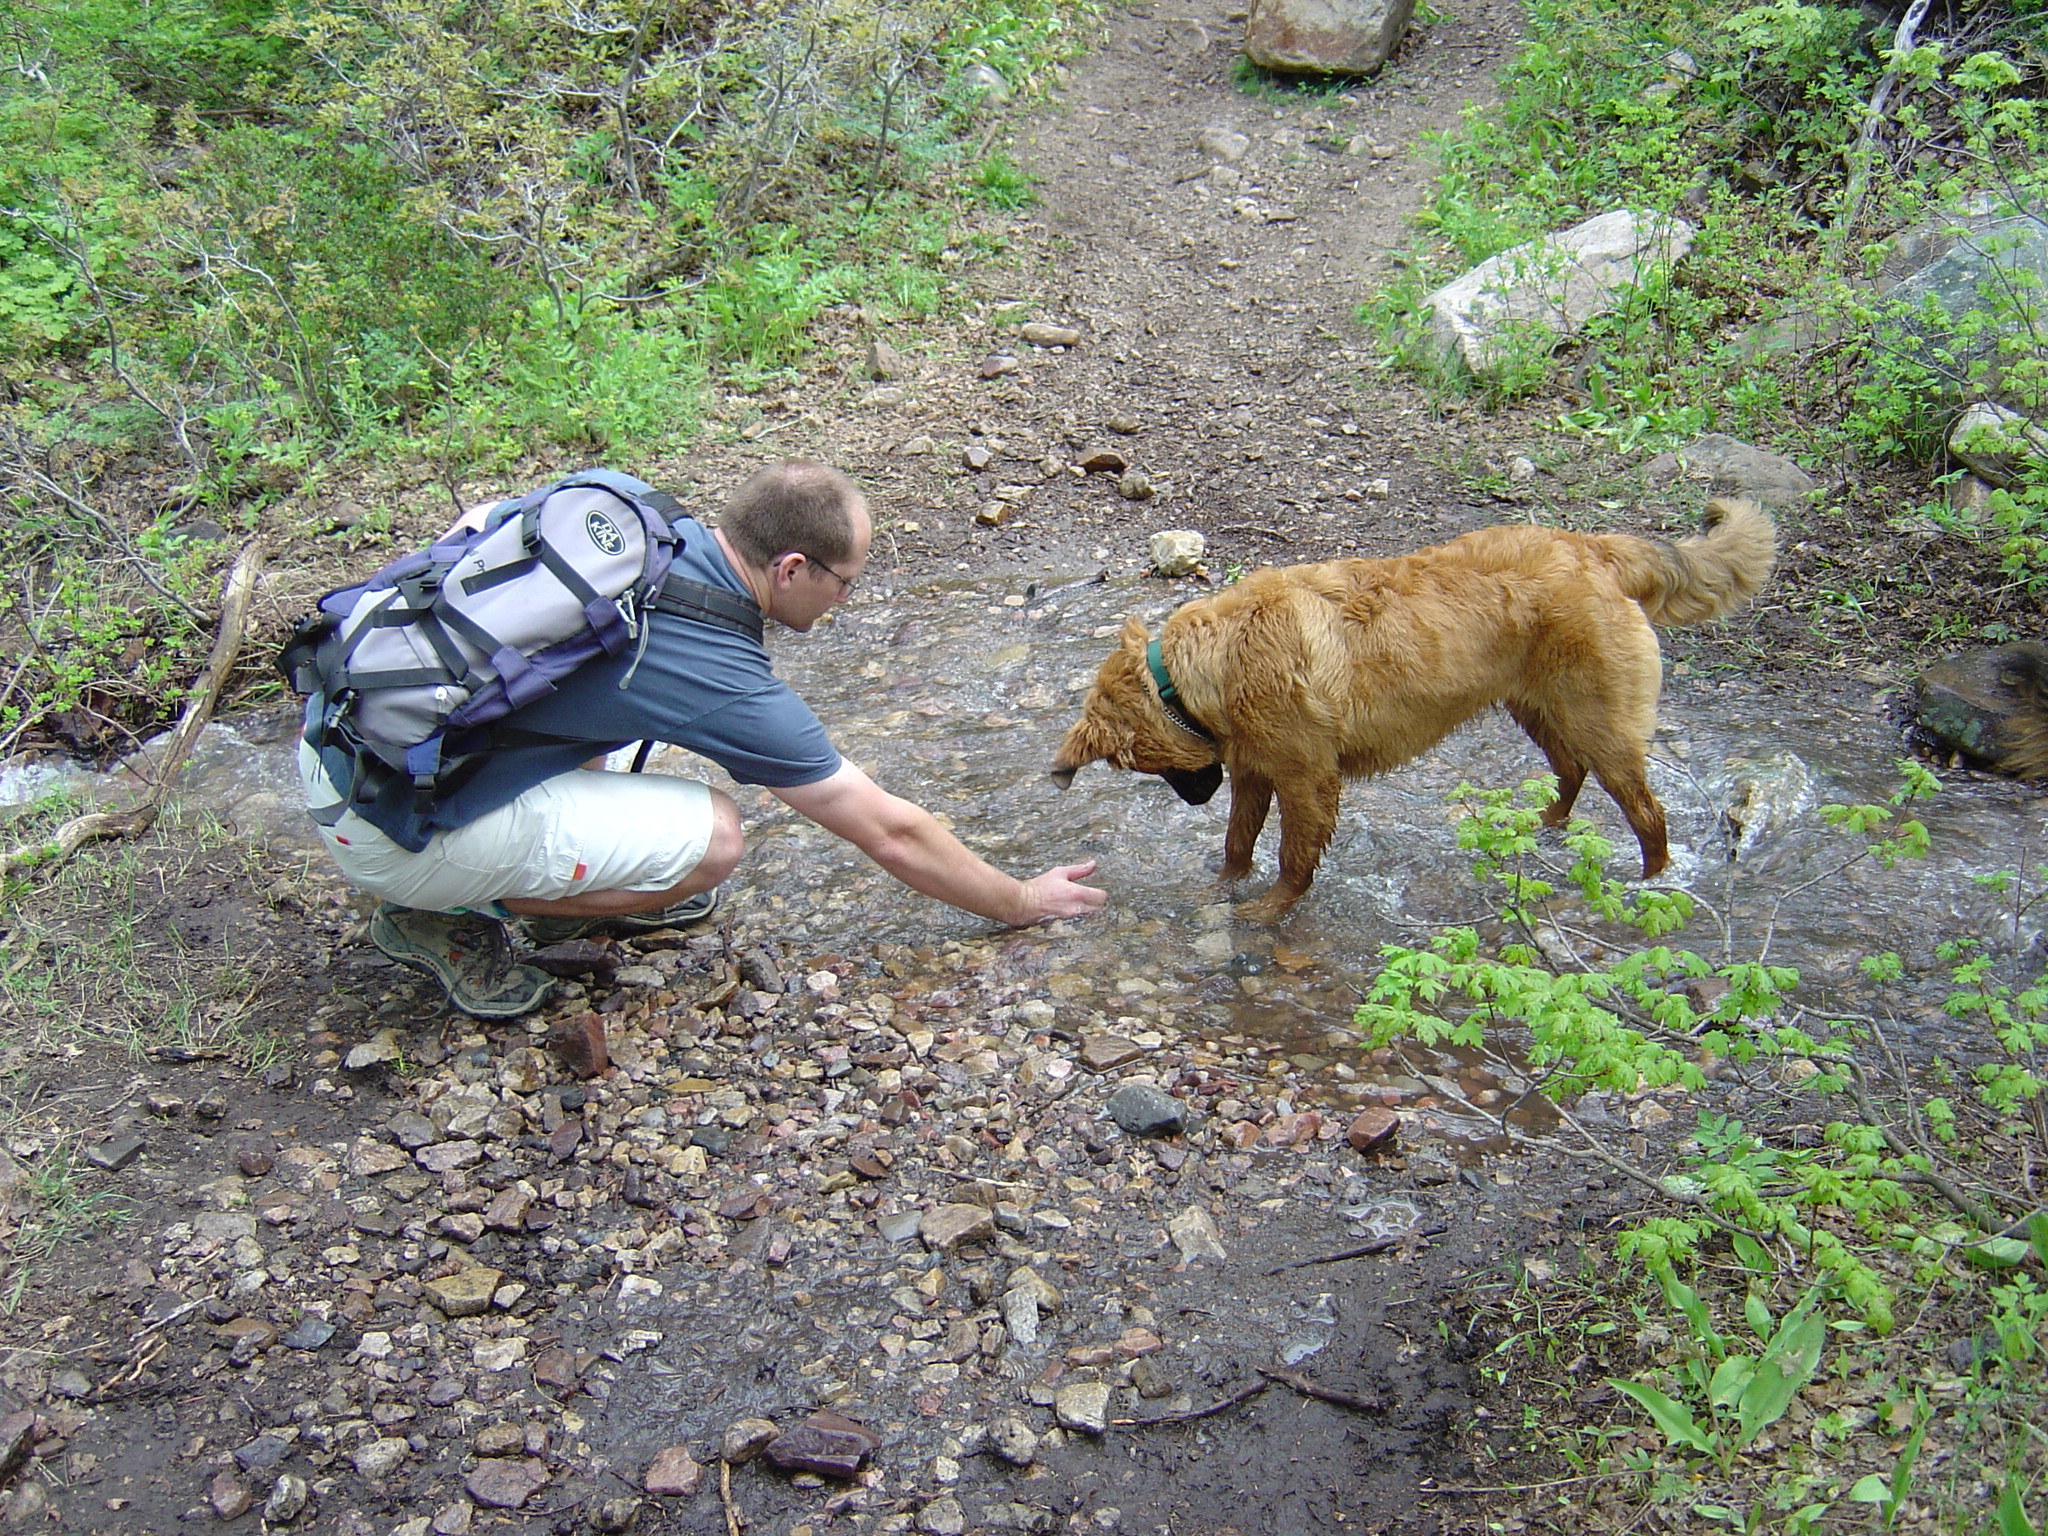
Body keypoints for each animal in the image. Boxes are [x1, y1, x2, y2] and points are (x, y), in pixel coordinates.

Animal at [1048, 499, 1769, 921]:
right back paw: (1543, 828)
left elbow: (1292, 858)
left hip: (1601, 722)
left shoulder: (1307, 778)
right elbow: (1236, 843)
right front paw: (1223, 887)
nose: (1196, 797)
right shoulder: (1255, 769)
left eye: (1138, 766)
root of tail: (1590, 546)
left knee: (1647, 815)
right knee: (1570, 772)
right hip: (1536, 707)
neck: (1197, 672)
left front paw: (1268, 911)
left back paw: (1649, 885)